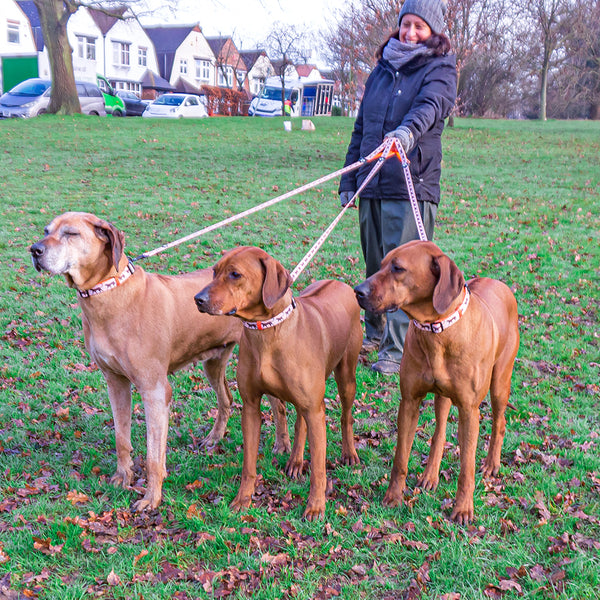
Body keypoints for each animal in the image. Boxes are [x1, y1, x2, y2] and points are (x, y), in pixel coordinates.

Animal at [29, 213, 290, 508]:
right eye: (46, 231)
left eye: (71, 234)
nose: (35, 250)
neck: (108, 294)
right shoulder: (115, 383)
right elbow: (121, 438)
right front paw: (123, 477)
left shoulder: (154, 391)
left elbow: (154, 456)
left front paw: (151, 497)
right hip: (213, 361)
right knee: (226, 399)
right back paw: (214, 438)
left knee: (278, 406)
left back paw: (282, 445)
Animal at [195, 246, 360, 516]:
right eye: (214, 271)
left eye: (235, 274)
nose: (198, 299)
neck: (266, 331)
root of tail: (339, 283)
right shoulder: (250, 407)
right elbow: (248, 464)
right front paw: (243, 498)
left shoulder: (316, 411)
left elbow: (318, 468)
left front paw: (315, 506)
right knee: (300, 423)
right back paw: (295, 461)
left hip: (346, 377)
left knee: (346, 416)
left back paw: (349, 454)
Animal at [354, 241, 516, 524]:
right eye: (382, 263)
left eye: (398, 268)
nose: (357, 291)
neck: (437, 330)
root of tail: (501, 285)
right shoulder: (409, 401)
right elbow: (400, 458)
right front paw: (393, 496)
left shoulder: (469, 410)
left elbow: (466, 468)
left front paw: (463, 509)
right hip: (442, 396)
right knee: (439, 433)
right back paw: (430, 475)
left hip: (499, 383)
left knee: (500, 421)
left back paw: (491, 464)